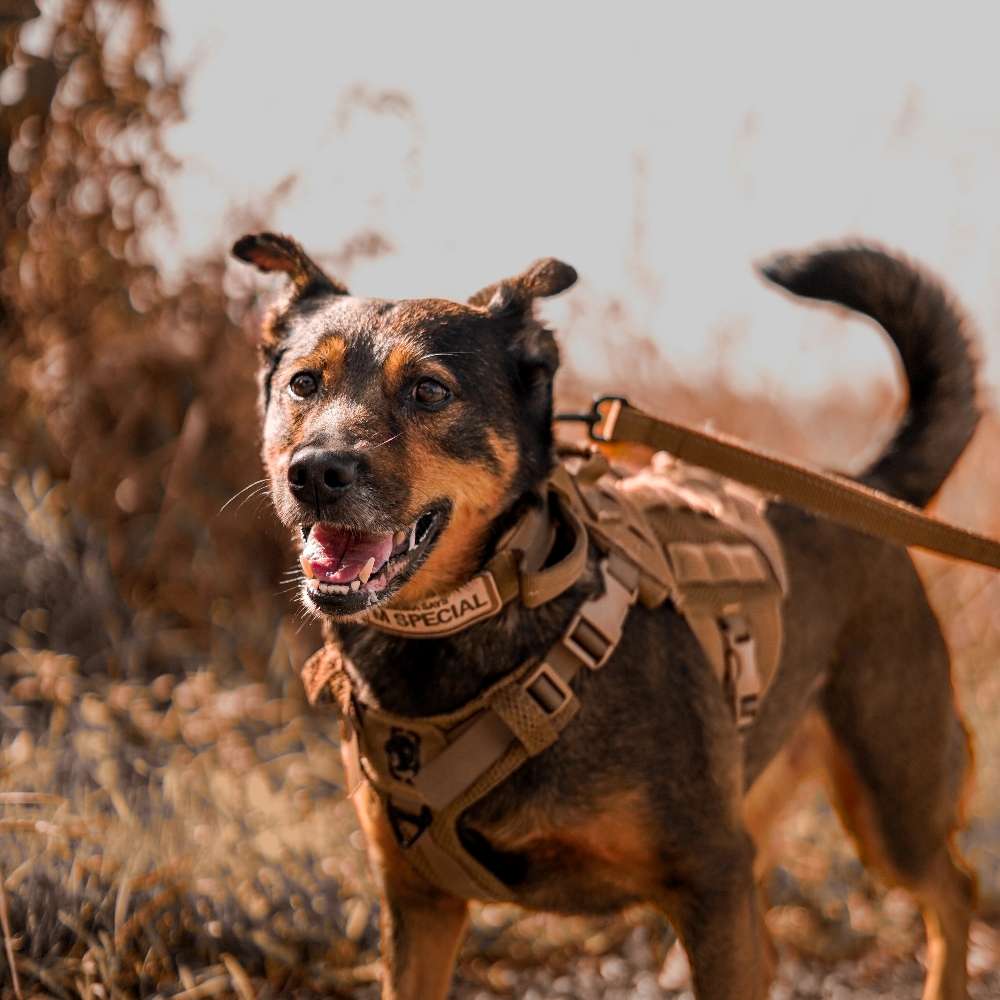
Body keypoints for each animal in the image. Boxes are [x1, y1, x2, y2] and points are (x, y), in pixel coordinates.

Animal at [232, 230, 976, 996]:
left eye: (430, 391)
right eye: (303, 384)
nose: (315, 473)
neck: (477, 619)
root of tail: (861, 487)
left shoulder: (712, 875)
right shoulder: (420, 904)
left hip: (893, 799)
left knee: (956, 892)